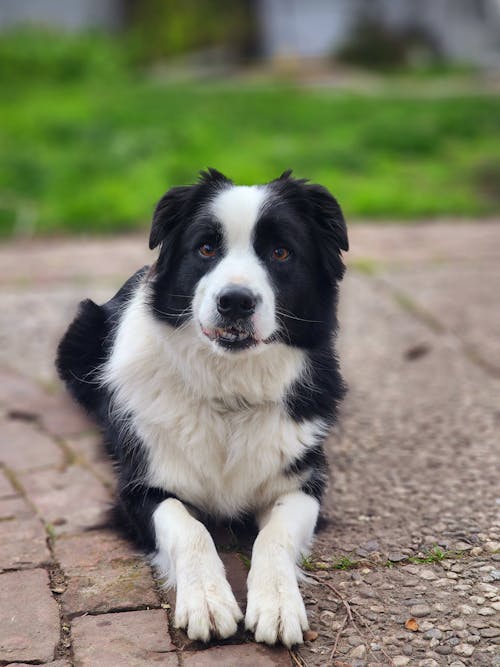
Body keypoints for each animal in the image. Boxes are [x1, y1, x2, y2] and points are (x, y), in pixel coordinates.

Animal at [56, 168, 348, 648]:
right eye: (207, 248)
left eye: (281, 252)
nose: (235, 302)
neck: (228, 390)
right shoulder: (140, 488)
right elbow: (189, 529)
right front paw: (208, 603)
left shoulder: (303, 483)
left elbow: (275, 535)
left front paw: (278, 604)